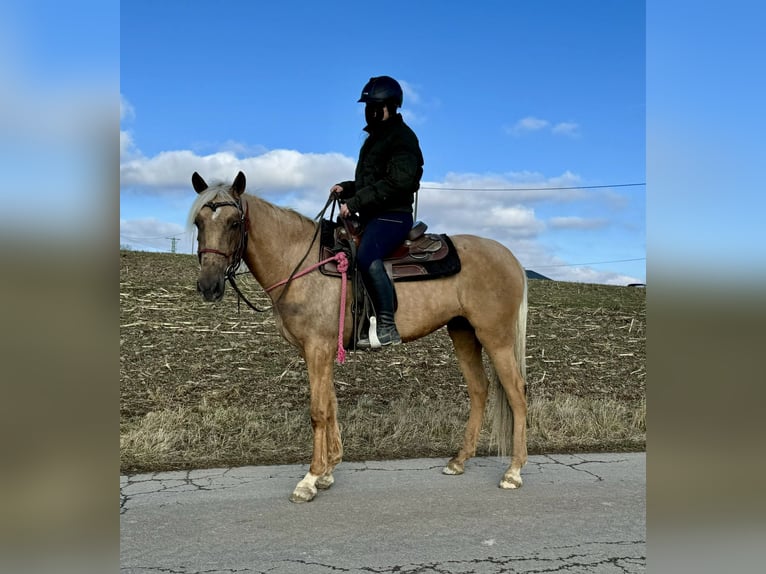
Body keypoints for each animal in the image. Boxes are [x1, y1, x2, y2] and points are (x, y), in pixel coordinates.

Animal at [189, 171, 532, 504]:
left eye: (234, 223)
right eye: (199, 223)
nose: (209, 286)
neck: (300, 261)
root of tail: (510, 257)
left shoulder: (318, 348)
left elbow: (318, 411)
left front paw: (309, 480)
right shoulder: (318, 350)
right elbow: (330, 405)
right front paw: (327, 472)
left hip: (496, 337)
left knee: (516, 392)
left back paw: (514, 472)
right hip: (463, 332)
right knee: (479, 389)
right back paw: (460, 460)